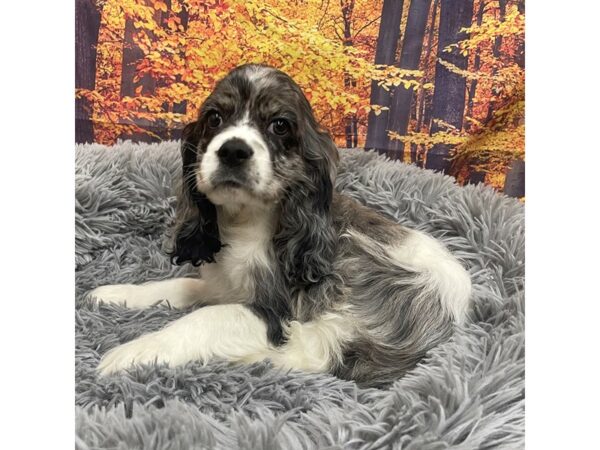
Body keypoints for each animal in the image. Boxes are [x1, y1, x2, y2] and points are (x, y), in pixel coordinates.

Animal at [90, 63, 474, 386]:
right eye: (214, 119)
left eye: (280, 125)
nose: (233, 150)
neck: (247, 221)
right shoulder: (225, 285)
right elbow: (182, 286)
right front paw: (116, 293)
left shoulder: (277, 313)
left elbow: (206, 317)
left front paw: (135, 352)